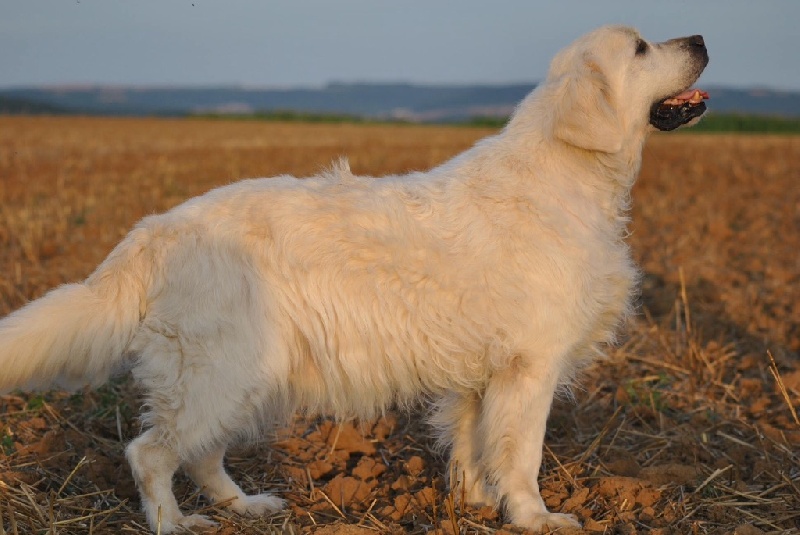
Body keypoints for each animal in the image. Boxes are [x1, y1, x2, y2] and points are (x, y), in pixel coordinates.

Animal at [3, 26, 708, 535]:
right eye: (640, 47)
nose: (702, 40)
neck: (571, 172)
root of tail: (152, 232)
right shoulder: (529, 366)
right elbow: (522, 454)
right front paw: (536, 518)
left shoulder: (482, 373)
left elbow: (473, 447)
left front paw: (476, 506)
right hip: (220, 370)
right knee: (150, 453)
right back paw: (174, 524)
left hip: (245, 377)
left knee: (199, 453)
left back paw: (245, 507)